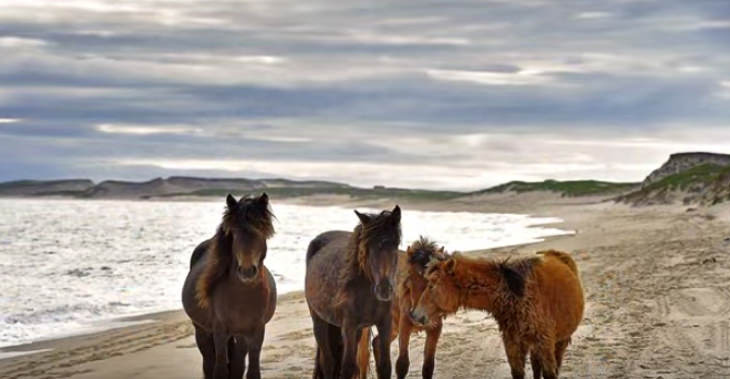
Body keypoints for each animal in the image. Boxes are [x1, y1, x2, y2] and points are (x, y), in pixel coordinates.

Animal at [182, 194, 276, 379]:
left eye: (260, 230)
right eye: (235, 232)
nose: (247, 271)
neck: (242, 295)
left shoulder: (256, 332)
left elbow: (252, 371)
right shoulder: (219, 332)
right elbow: (219, 370)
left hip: (240, 336)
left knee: (237, 365)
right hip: (202, 331)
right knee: (209, 363)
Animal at [304, 206, 400, 378]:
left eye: (395, 245)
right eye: (369, 247)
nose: (384, 289)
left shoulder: (385, 324)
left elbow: (385, 366)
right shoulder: (349, 327)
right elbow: (347, 367)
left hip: (358, 330)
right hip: (320, 322)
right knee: (328, 362)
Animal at [356, 238, 446, 379]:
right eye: (410, 275)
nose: (415, 315)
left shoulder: (435, 329)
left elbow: (428, 366)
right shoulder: (405, 324)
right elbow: (402, 364)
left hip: (392, 325)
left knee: (376, 343)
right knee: (363, 356)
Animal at [406, 251, 584, 378]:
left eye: (431, 285)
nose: (414, 314)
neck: (516, 295)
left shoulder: (544, 343)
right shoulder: (512, 343)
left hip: (559, 342)